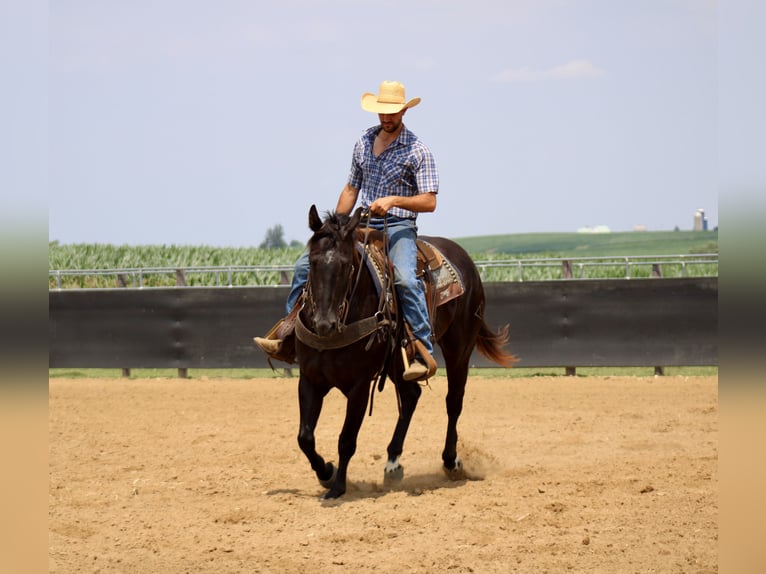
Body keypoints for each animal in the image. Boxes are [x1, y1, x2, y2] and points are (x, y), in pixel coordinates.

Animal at [296, 206, 520, 500]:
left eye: (346, 265)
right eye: (312, 262)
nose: (324, 324)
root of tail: (466, 261)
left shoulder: (359, 386)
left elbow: (346, 440)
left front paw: (337, 487)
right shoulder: (309, 379)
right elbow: (305, 437)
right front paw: (326, 473)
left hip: (459, 348)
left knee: (453, 401)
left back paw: (451, 461)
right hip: (397, 361)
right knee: (412, 395)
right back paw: (393, 463)